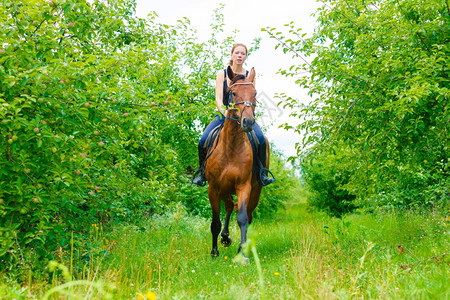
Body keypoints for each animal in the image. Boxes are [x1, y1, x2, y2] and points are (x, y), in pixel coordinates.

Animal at [205, 67, 270, 256]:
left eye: (254, 93)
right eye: (233, 93)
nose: (248, 122)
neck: (231, 148)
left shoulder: (243, 185)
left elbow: (242, 218)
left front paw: (243, 252)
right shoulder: (213, 188)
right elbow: (215, 222)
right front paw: (214, 252)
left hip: (255, 191)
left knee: (247, 215)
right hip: (224, 189)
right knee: (227, 207)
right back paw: (225, 237)